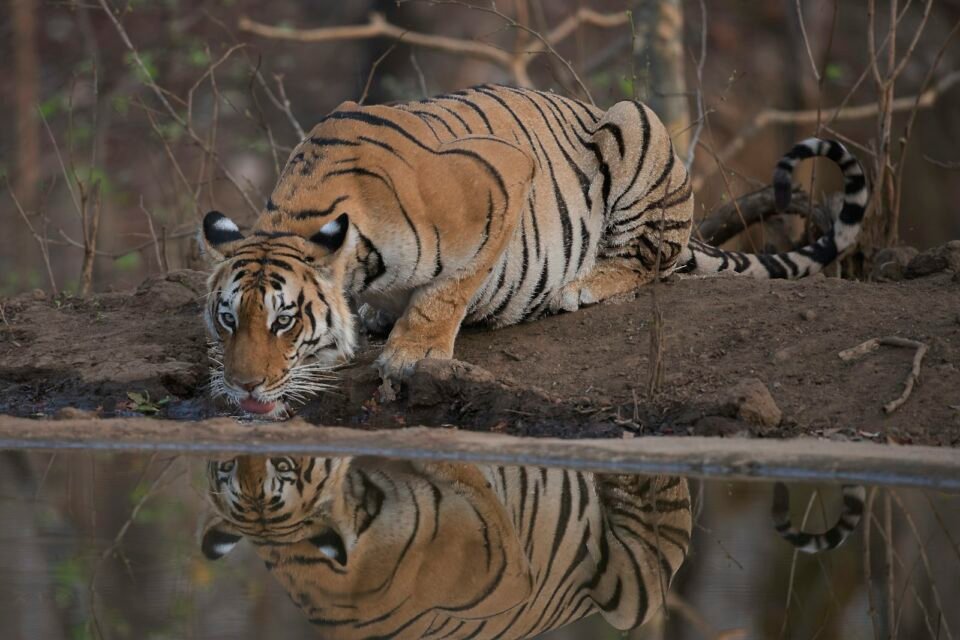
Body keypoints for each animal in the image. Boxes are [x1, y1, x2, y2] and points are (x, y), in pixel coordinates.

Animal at [200, 84, 869, 415]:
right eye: (228, 319)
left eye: (285, 321)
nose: (243, 387)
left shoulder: (501, 176)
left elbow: (449, 290)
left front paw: (412, 352)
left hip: (635, 125)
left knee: (651, 259)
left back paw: (581, 285)